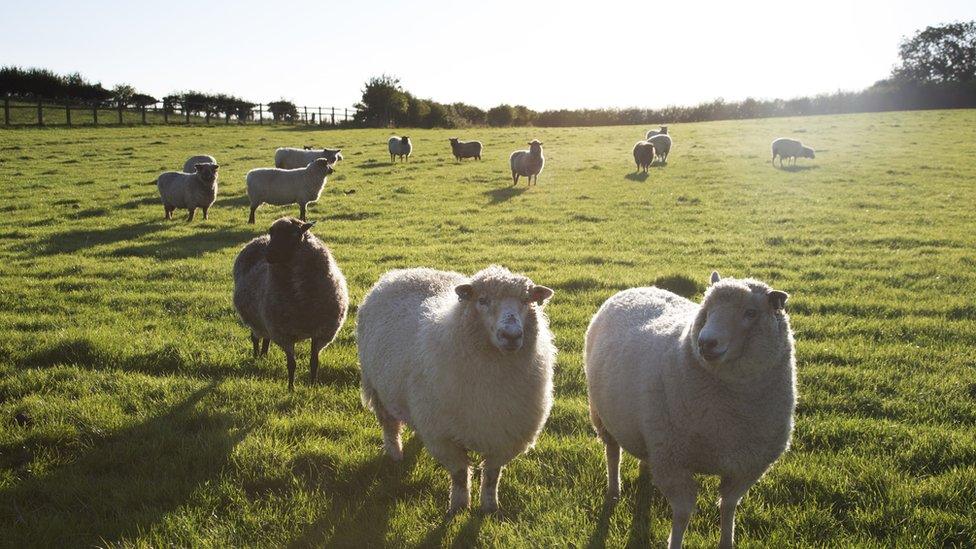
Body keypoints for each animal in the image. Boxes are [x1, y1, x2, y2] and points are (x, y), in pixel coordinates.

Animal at [232, 214, 346, 390]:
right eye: (271, 232)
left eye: (294, 234)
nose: (269, 255)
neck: (301, 299)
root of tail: (258, 239)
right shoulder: (284, 334)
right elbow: (291, 364)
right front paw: (291, 388)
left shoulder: (321, 332)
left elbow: (314, 362)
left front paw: (312, 386)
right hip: (256, 319)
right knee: (255, 337)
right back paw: (257, 356)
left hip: (267, 321)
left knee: (266, 338)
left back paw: (264, 355)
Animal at [358, 266, 556, 512]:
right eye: (482, 300)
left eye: (526, 300)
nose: (511, 335)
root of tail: (400, 272)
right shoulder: (444, 437)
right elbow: (460, 474)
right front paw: (459, 507)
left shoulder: (505, 435)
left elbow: (492, 476)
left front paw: (490, 507)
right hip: (378, 388)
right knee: (390, 426)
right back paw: (395, 454)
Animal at [584, 270, 796, 548]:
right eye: (707, 308)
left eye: (750, 313)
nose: (706, 342)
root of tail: (637, 288)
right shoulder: (673, 462)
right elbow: (684, 513)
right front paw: (675, 543)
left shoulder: (747, 466)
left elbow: (728, 506)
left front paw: (726, 541)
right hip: (603, 416)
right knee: (612, 452)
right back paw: (614, 490)